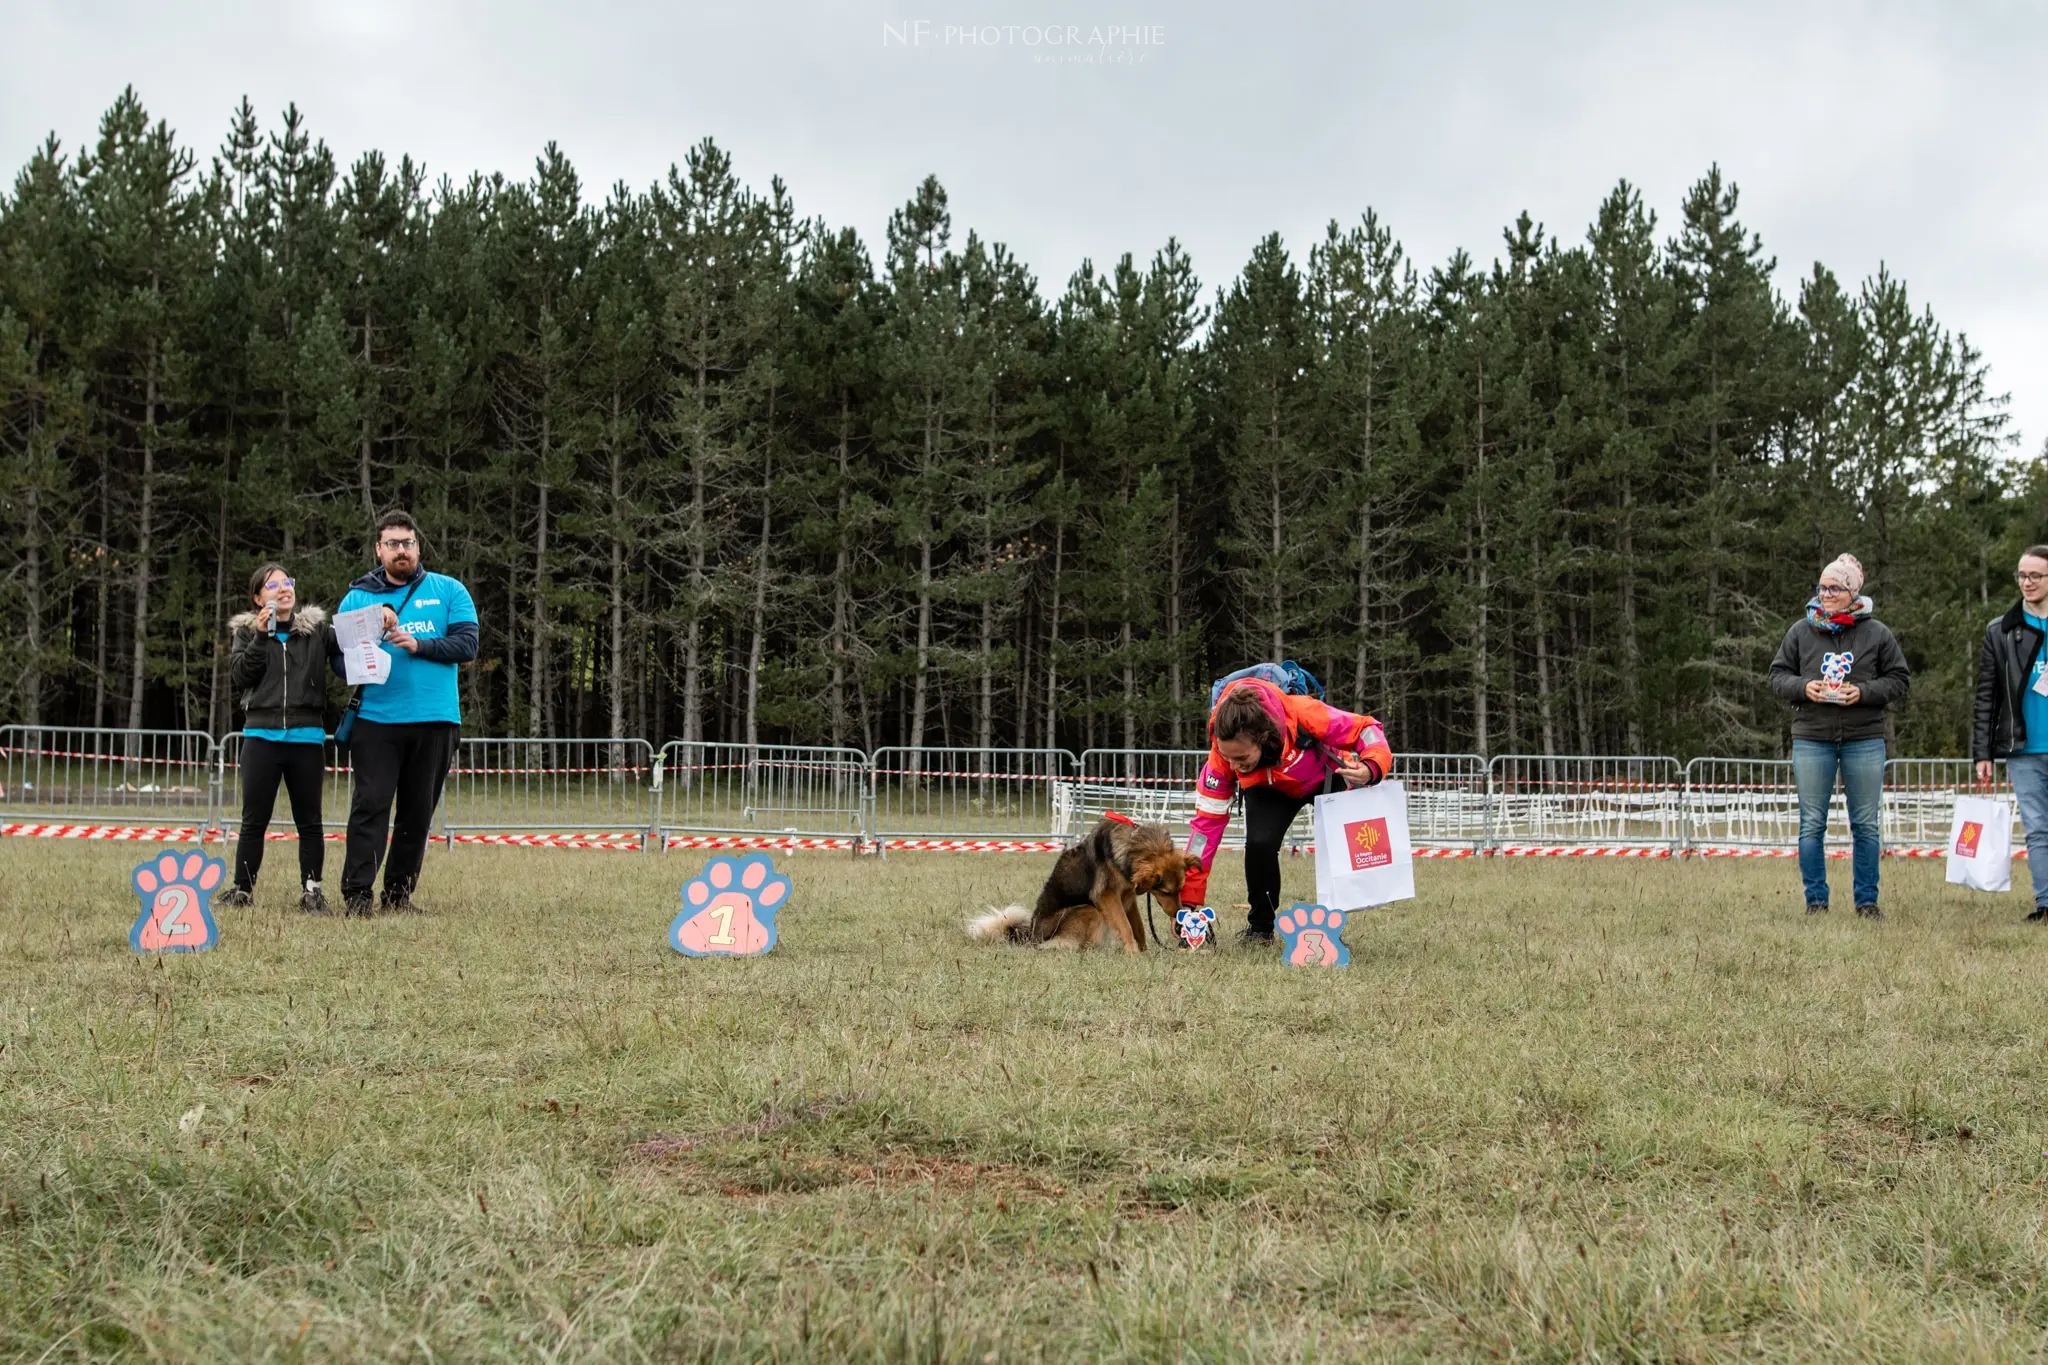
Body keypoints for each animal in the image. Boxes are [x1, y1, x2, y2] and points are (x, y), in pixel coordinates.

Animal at [962, 818, 1196, 957]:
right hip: (1088, 909)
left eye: (1181, 888)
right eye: (1166, 892)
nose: (1179, 917)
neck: (1135, 847)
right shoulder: (1107, 897)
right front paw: (1133, 953)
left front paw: (1144, 951)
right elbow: (1126, 926)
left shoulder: (1128, 897)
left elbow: (1138, 927)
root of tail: (1031, 937)